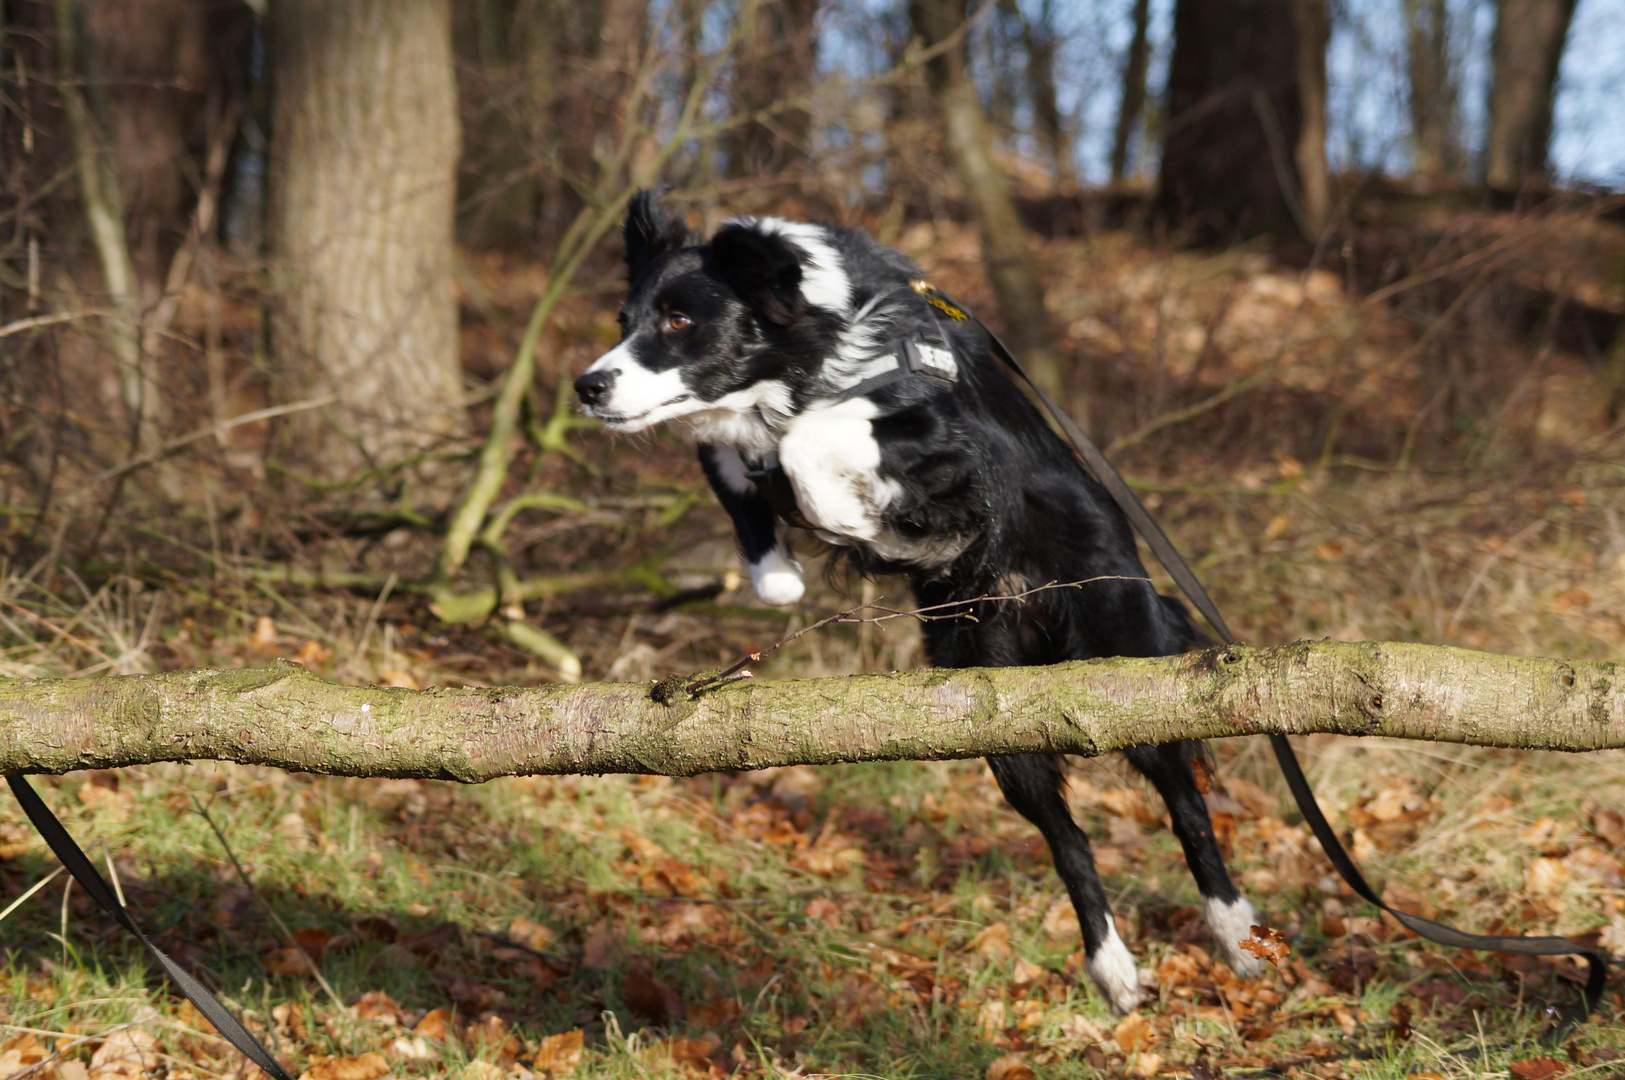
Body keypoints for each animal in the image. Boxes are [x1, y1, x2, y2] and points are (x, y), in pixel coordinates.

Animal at [578, 194, 1261, 1013]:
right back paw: (1113, 970)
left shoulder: (945, 442)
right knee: (1069, 838)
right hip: (996, 716)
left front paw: (848, 515)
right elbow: (734, 465)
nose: (587, 385)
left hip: (1124, 664)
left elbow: (809, 442)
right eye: (623, 319)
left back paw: (1232, 929)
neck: (812, 343)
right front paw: (778, 571)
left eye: (679, 320)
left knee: (1184, 799)